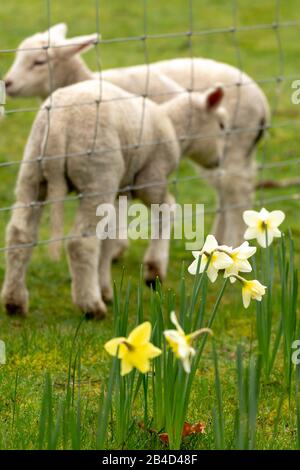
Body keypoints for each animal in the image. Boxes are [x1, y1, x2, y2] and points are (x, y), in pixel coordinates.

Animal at [1, 79, 226, 318]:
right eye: (221, 125)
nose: (219, 161)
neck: (174, 126)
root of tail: (60, 123)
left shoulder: (121, 191)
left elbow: (110, 238)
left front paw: (105, 289)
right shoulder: (151, 178)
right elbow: (167, 210)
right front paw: (154, 271)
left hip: (33, 171)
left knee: (20, 234)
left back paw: (15, 301)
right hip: (98, 174)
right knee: (81, 242)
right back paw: (90, 305)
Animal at [4, 24, 270, 246]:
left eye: (39, 62)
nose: (7, 83)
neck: (85, 80)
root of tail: (262, 103)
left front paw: (117, 248)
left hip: (234, 145)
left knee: (238, 192)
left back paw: (236, 242)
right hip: (218, 154)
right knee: (225, 191)